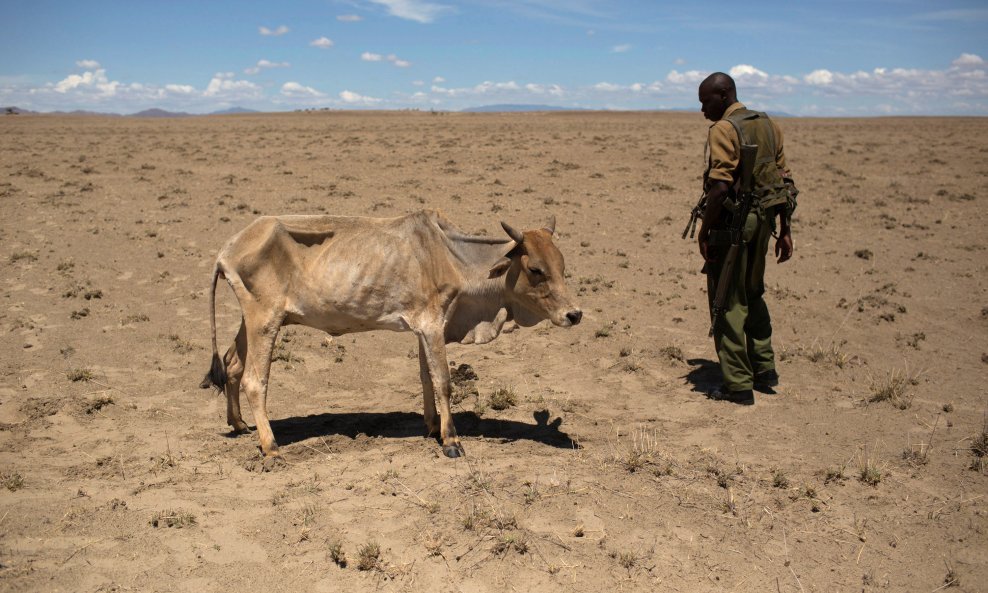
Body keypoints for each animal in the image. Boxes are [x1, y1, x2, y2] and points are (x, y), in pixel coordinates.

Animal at [202, 208, 584, 458]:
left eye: (562, 265)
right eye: (535, 269)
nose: (574, 314)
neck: (451, 257)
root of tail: (227, 249)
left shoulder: (424, 328)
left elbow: (426, 377)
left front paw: (432, 426)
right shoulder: (432, 324)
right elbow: (444, 381)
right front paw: (451, 441)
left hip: (252, 322)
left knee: (232, 364)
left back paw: (239, 424)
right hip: (264, 321)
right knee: (254, 380)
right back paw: (270, 447)